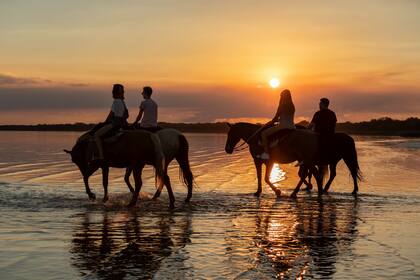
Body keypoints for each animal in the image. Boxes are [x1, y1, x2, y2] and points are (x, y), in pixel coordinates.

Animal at [226, 122, 360, 197]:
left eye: (230, 134)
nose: (227, 149)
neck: (257, 138)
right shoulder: (258, 162)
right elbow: (260, 177)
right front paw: (258, 192)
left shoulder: (269, 162)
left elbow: (266, 178)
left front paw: (277, 191)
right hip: (321, 161)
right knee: (319, 174)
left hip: (339, 159)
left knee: (347, 172)